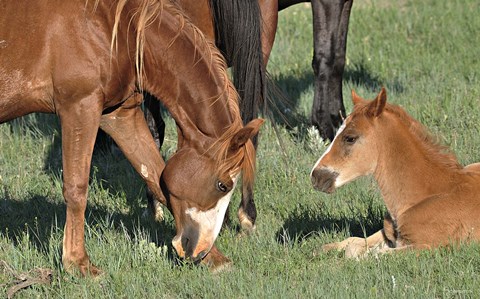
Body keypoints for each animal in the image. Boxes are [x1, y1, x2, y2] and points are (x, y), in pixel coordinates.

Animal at [0, 0, 262, 276]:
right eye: (223, 185)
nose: (198, 250)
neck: (111, 28)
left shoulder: (120, 114)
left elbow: (155, 175)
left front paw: (215, 259)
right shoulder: (78, 108)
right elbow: (76, 187)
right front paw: (78, 263)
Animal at [310, 88, 480, 258]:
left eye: (350, 138)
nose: (316, 176)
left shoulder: (431, 247)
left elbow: (369, 253)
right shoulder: (388, 234)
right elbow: (354, 242)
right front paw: (323, 249)